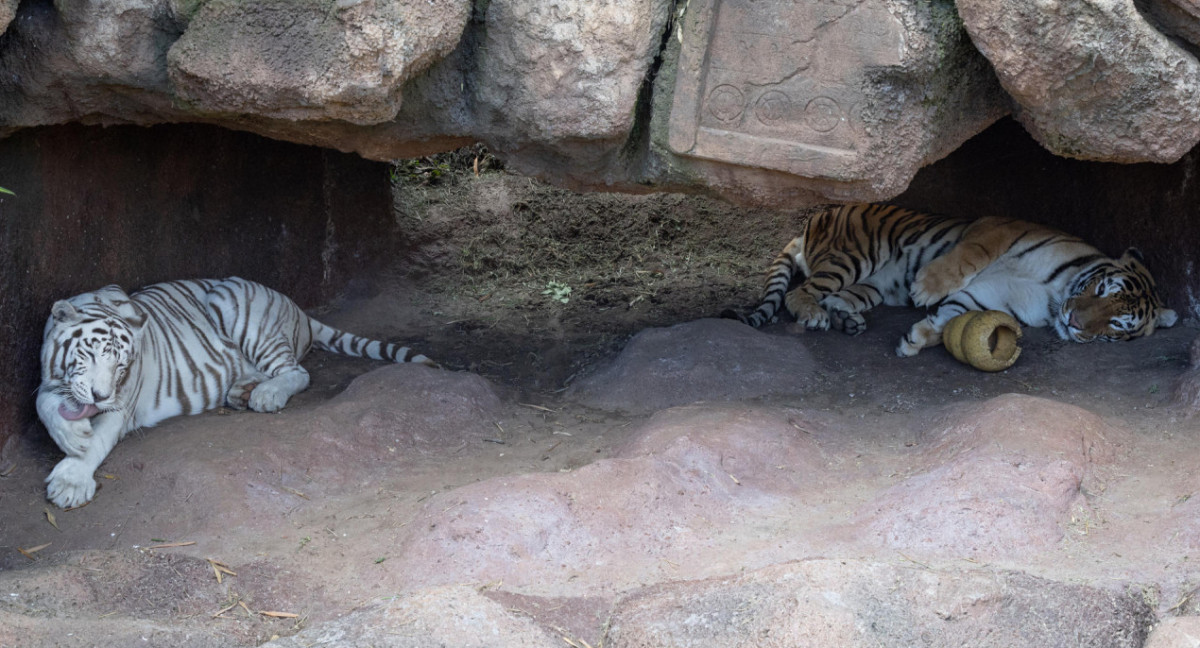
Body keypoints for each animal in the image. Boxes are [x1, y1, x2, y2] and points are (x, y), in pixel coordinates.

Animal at [37, 276, 436, 508]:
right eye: (89, 354)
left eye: (122, 365)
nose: (100, 396)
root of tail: (295, 306)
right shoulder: (47, 381)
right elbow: (45, 406)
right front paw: (72, 434)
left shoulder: (122, 404)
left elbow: (100, 438)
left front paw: (71, 481)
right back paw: (242, 390)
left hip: (239, 310)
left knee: (297, 371)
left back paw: (264, 395)